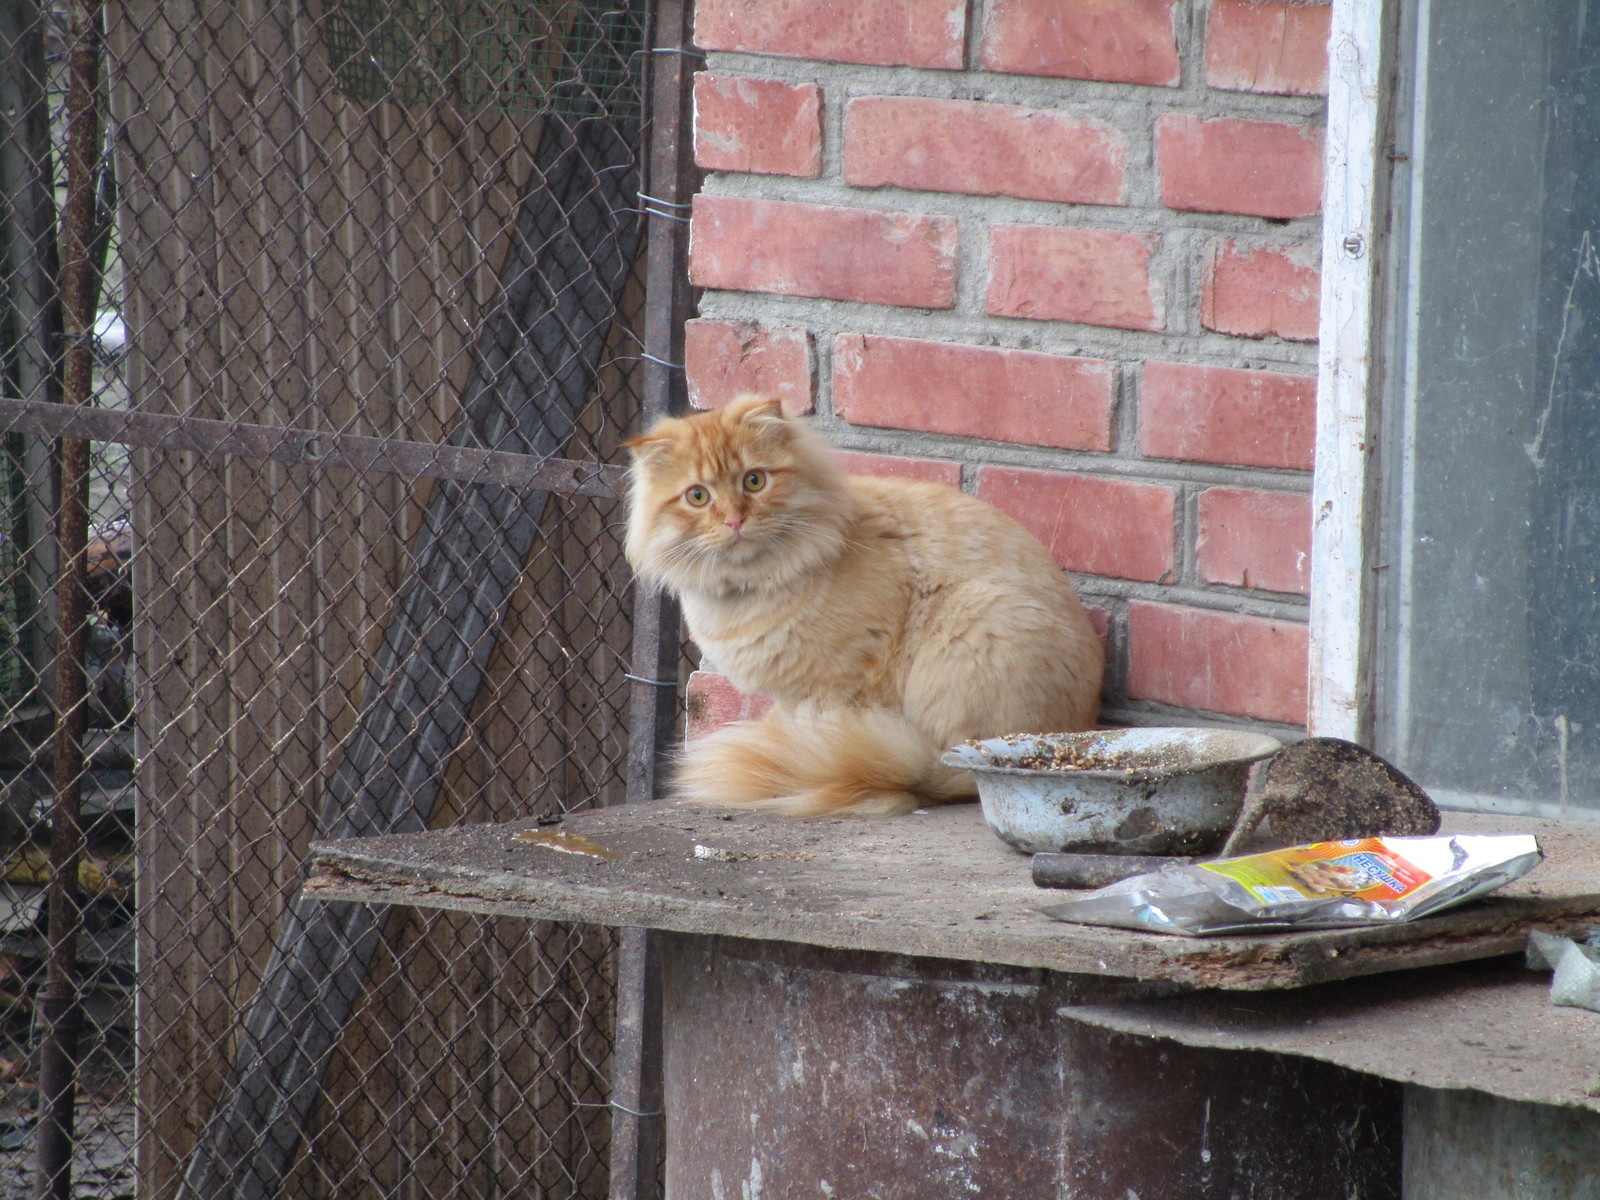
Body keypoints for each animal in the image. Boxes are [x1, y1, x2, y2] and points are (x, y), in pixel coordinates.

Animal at [624, 395, 1100, 819]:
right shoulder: (795, 694)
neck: (756, 585)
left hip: (978, 620)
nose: (734, 520)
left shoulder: (843, 681)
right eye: (698, 497)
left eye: (754, 481)